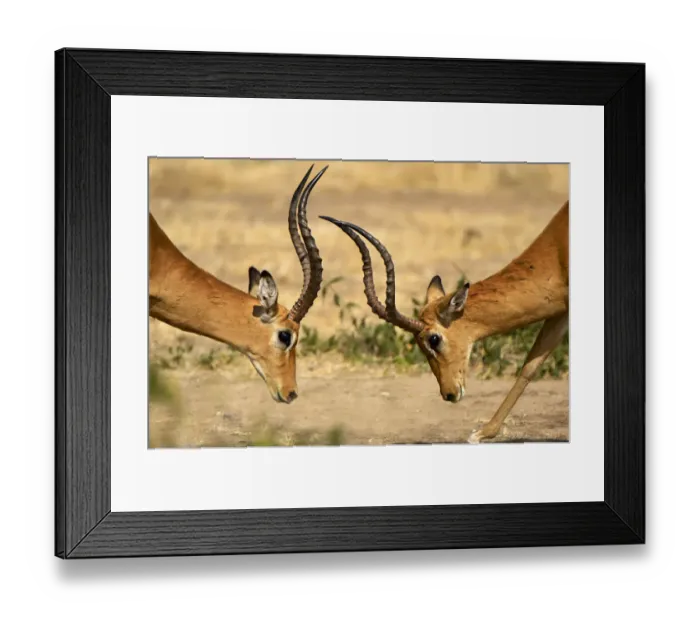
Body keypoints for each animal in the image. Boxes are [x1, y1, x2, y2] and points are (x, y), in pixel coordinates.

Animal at [320, 200, 569, 443]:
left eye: (433, 339)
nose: (448, 394)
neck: (556, 252)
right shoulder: (560, 312)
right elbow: (530, 366)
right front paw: (484, 432)